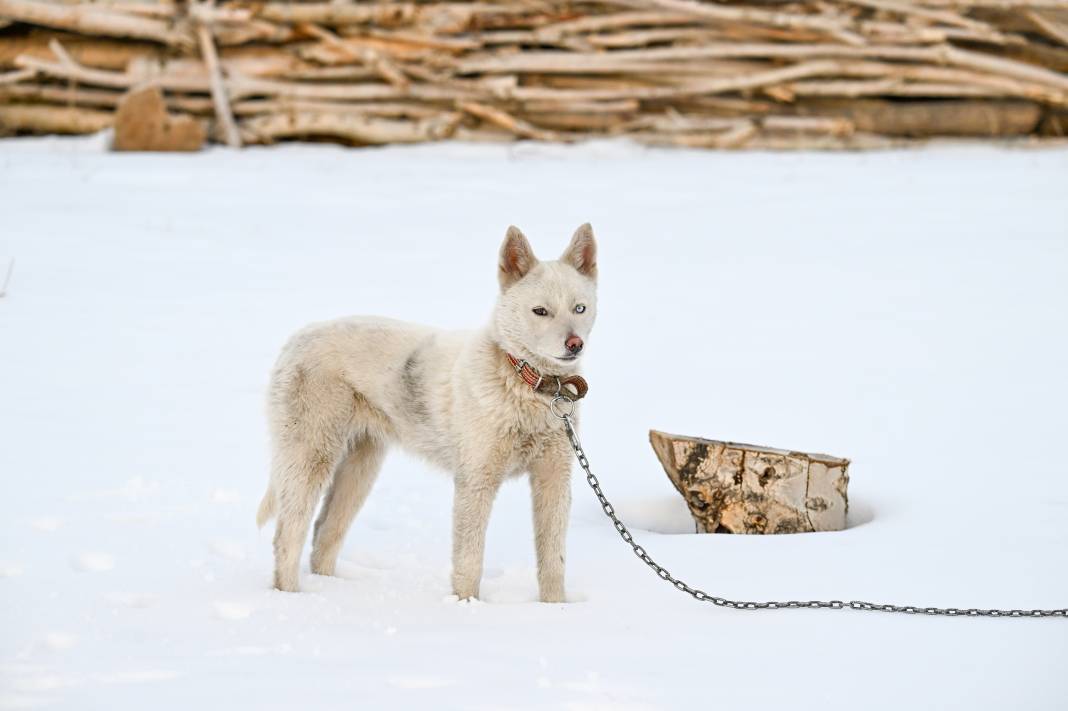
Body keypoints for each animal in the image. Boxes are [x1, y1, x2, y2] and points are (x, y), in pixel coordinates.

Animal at [255, 224, 598, 602]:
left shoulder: (554, 480)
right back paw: (292, 598)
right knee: (288, 536)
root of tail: (297, 338)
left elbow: (554, 562)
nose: (574, 344)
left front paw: (555, 609)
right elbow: (469, 561)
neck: (526, 381)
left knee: (324, 534)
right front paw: (466, 605)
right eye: (540, 311)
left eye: (579, 308)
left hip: (360, 467)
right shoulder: (475, 481)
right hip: (311, 457)